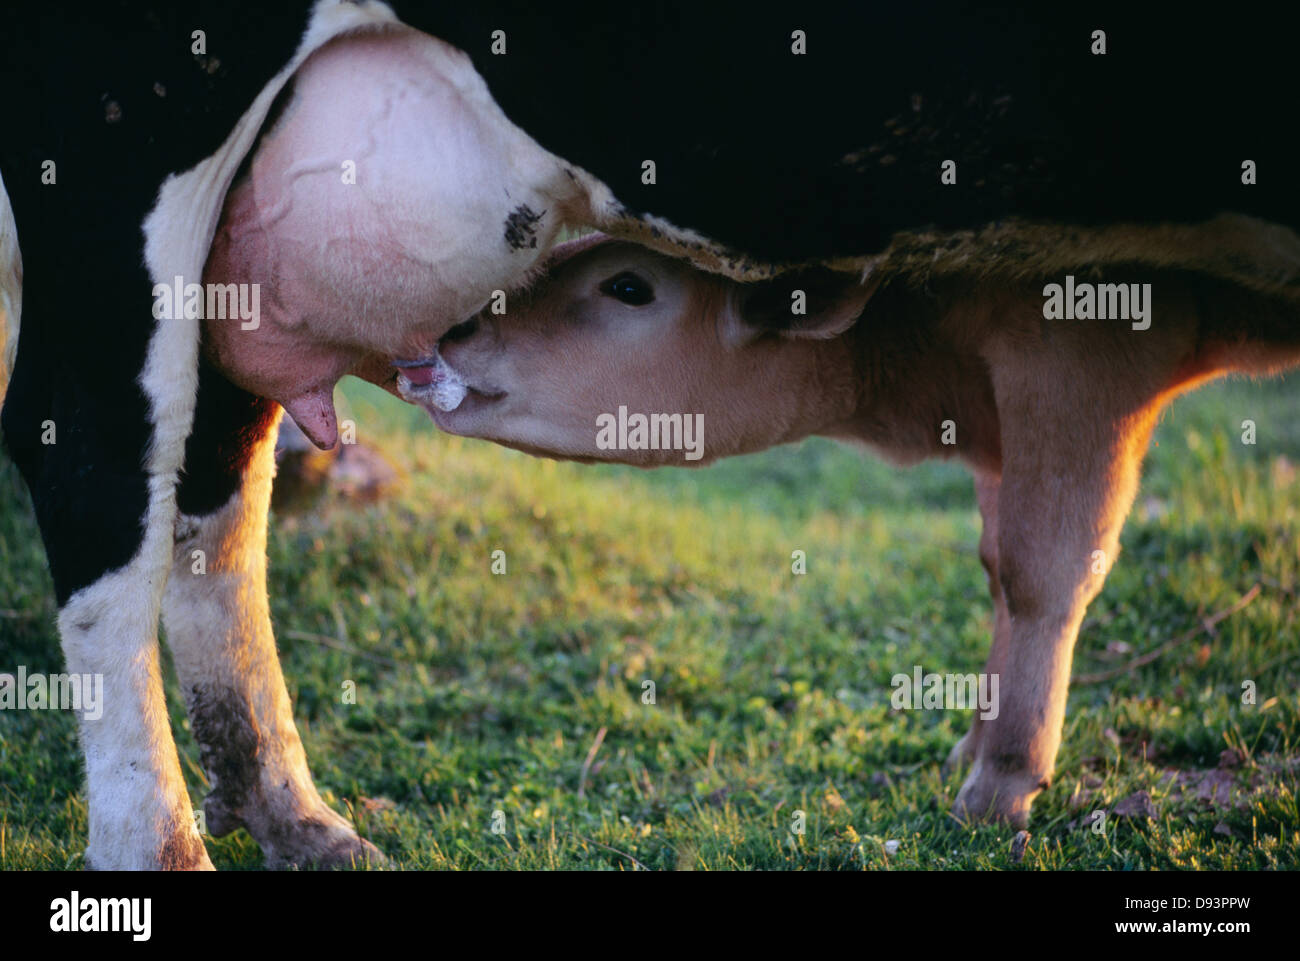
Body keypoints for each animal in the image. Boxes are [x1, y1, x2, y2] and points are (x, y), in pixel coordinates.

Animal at [1, 2, 1296, 868]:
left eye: (628, 285)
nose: (455, 338)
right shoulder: (1076, 334)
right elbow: (1047, 563)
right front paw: (1000, 786)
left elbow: (1025, 558)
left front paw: (982, 760)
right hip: (123, 153)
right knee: (96, 462)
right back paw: (160, 844)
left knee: (218, 475)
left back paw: (294, 815)